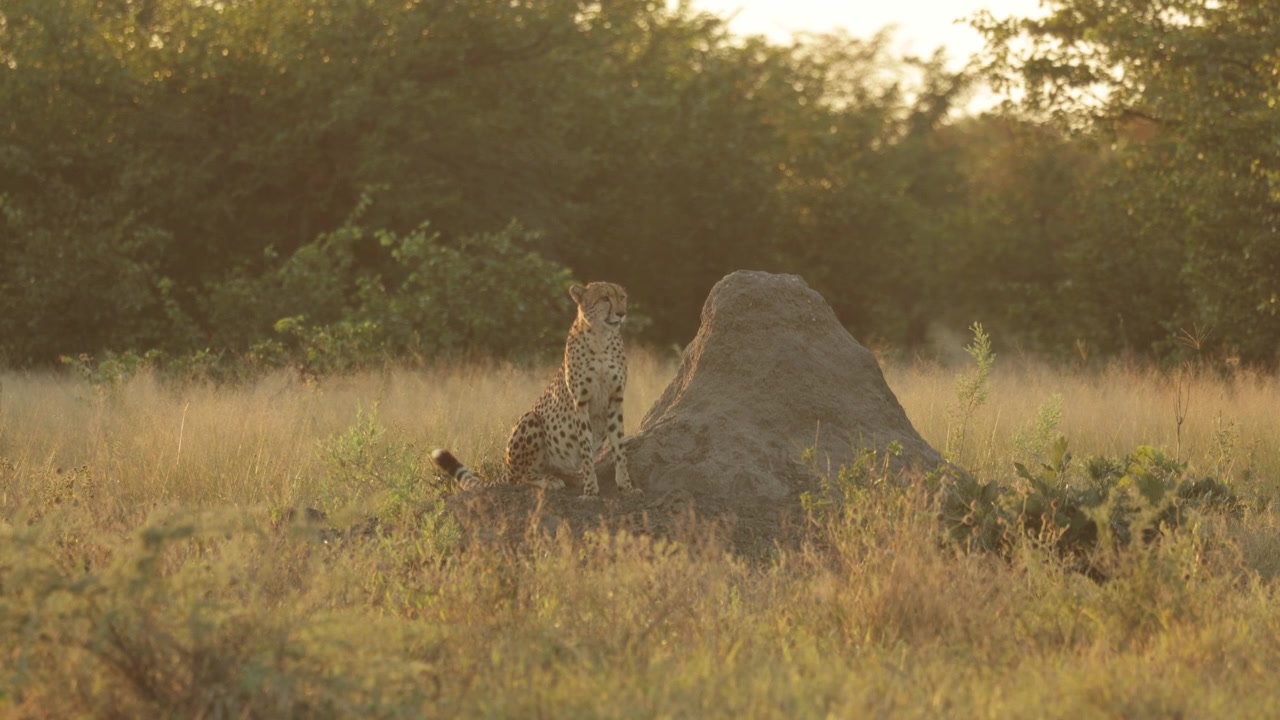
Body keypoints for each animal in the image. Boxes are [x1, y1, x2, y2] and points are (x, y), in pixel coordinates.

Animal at [432, 282, 638, 498]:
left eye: (622, 297)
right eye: (605, 298)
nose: (622, 313)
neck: (601, 339)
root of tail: (507, 469)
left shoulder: (615, 399)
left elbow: (619, 447)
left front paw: (626, 486)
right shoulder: (580, 402)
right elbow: (586, 449)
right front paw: (590, 490)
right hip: (530, 419)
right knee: (520, 478)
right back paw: (548, 480)